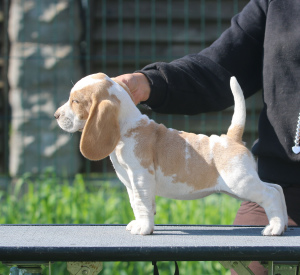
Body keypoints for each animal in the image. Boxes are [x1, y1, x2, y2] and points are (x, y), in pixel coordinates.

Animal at [54, 73, 288, 237]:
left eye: (75, 101)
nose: (56, 115)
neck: (127, 126)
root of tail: (231, 138)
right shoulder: (131, 183)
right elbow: (138, 204)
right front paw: (142, 224)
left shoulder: (140, 178)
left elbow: (142, 204)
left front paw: (144, 228)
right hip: (241, 185)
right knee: (277, 187)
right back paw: (284, 223)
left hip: (240, 183)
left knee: (270, 194)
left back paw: (274, 228)